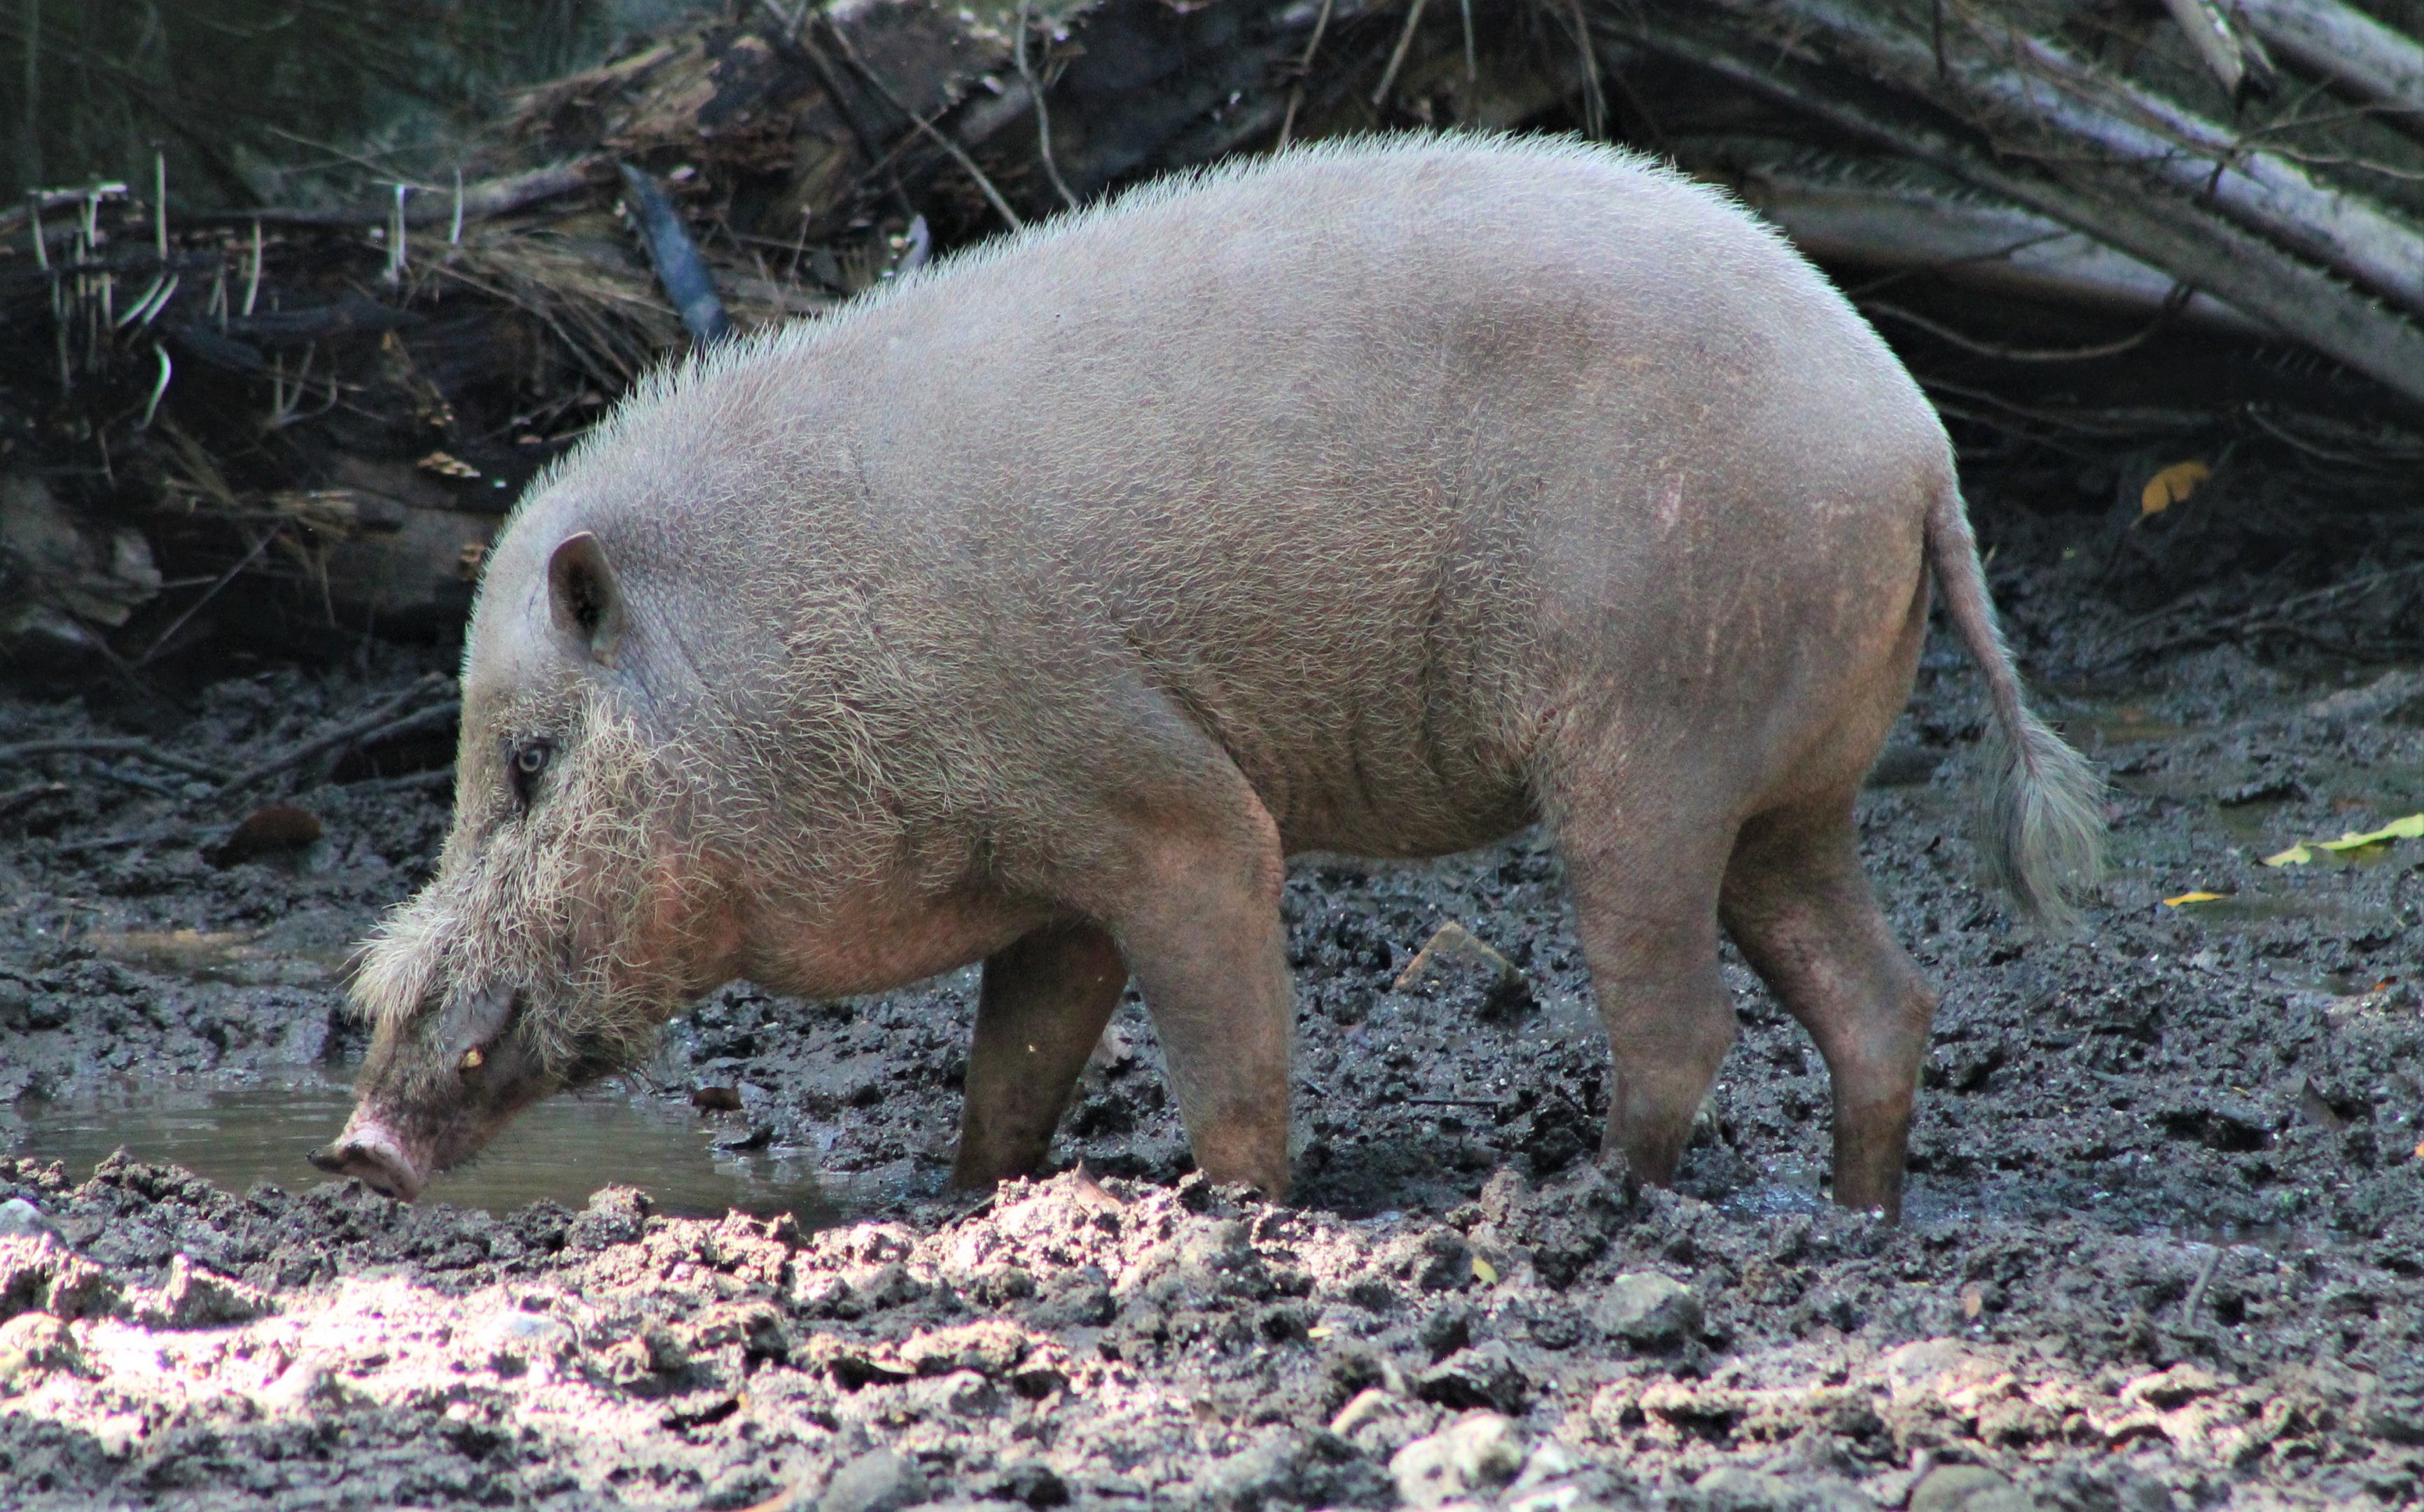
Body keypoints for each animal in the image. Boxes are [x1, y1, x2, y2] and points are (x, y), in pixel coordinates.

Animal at [312, 134, 2101, 1220]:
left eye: (527, 763)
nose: (356, 1148)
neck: (792, 661)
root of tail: (1915, 438)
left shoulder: (1162, 805)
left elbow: (1225, 1048)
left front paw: (1233, 1208)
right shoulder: (1048, 882)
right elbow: (1016, 1066)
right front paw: (971, 1197)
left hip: (1646, 750)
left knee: (1683, 1016)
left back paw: (1584, 1198)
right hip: (1788, 784)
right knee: (1878, 995)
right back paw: (1853, 1206)